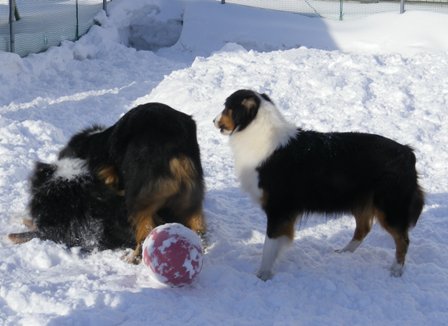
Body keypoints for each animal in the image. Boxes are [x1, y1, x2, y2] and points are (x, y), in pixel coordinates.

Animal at [9, 102, 205, 262]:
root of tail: (175, 147)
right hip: (192, 195)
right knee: (198, 227)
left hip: (137, 197)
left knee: (146, 232)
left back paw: (133, 257)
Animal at [214, 89, 424, 280]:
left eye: (227, 107)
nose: (213, 121)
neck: (255, 130)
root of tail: (408, 152)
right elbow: (278, 242)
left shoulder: (278, 209)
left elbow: (270, 244)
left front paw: (263, 274)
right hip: (361, 201)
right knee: (363, 229)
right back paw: (344, 253)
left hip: (389, 208)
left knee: (403, 239)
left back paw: (396, 270)